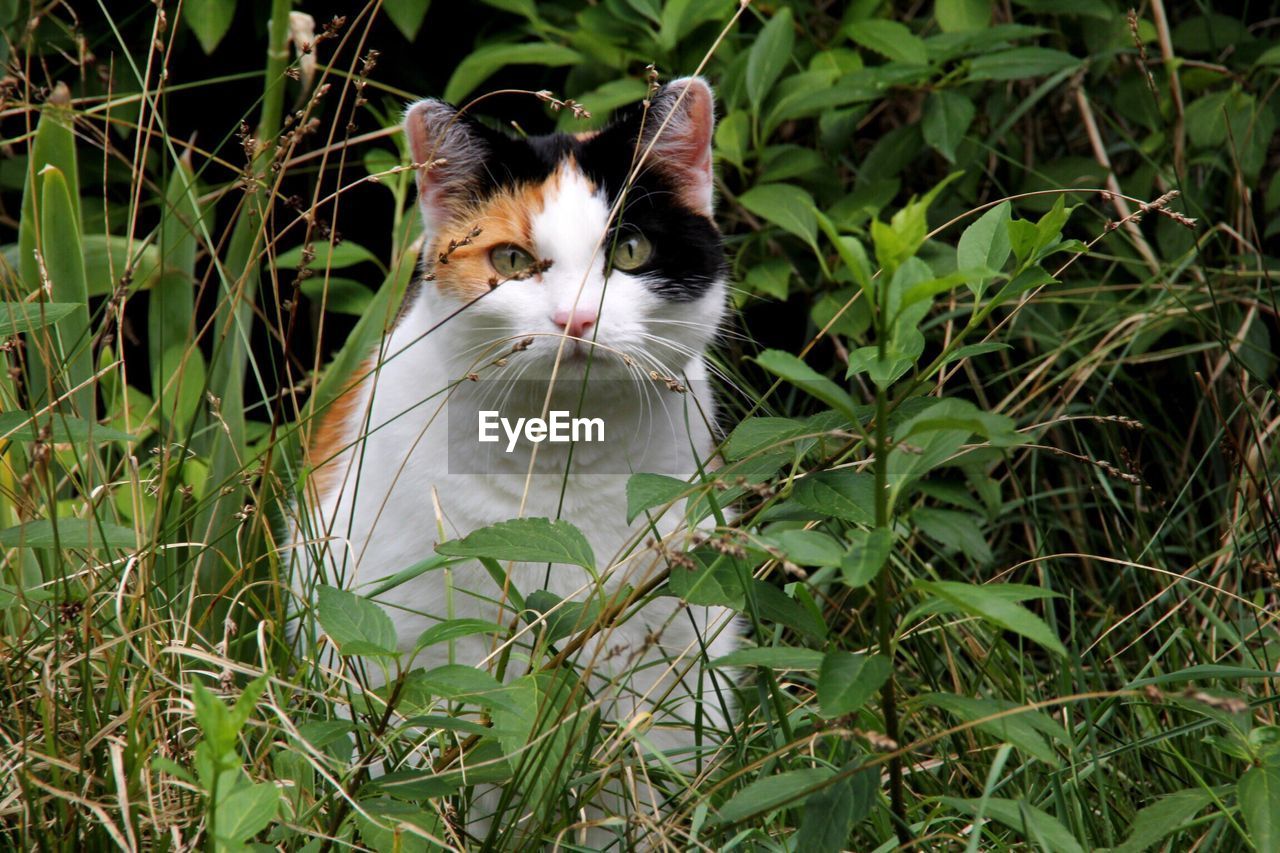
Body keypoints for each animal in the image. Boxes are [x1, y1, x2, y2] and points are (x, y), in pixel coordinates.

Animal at [293, 78, 742, 845]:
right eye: (510, 262)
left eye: (629, 249)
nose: (576, 319)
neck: (567, 452)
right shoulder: (408, 642)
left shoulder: (669, 648)